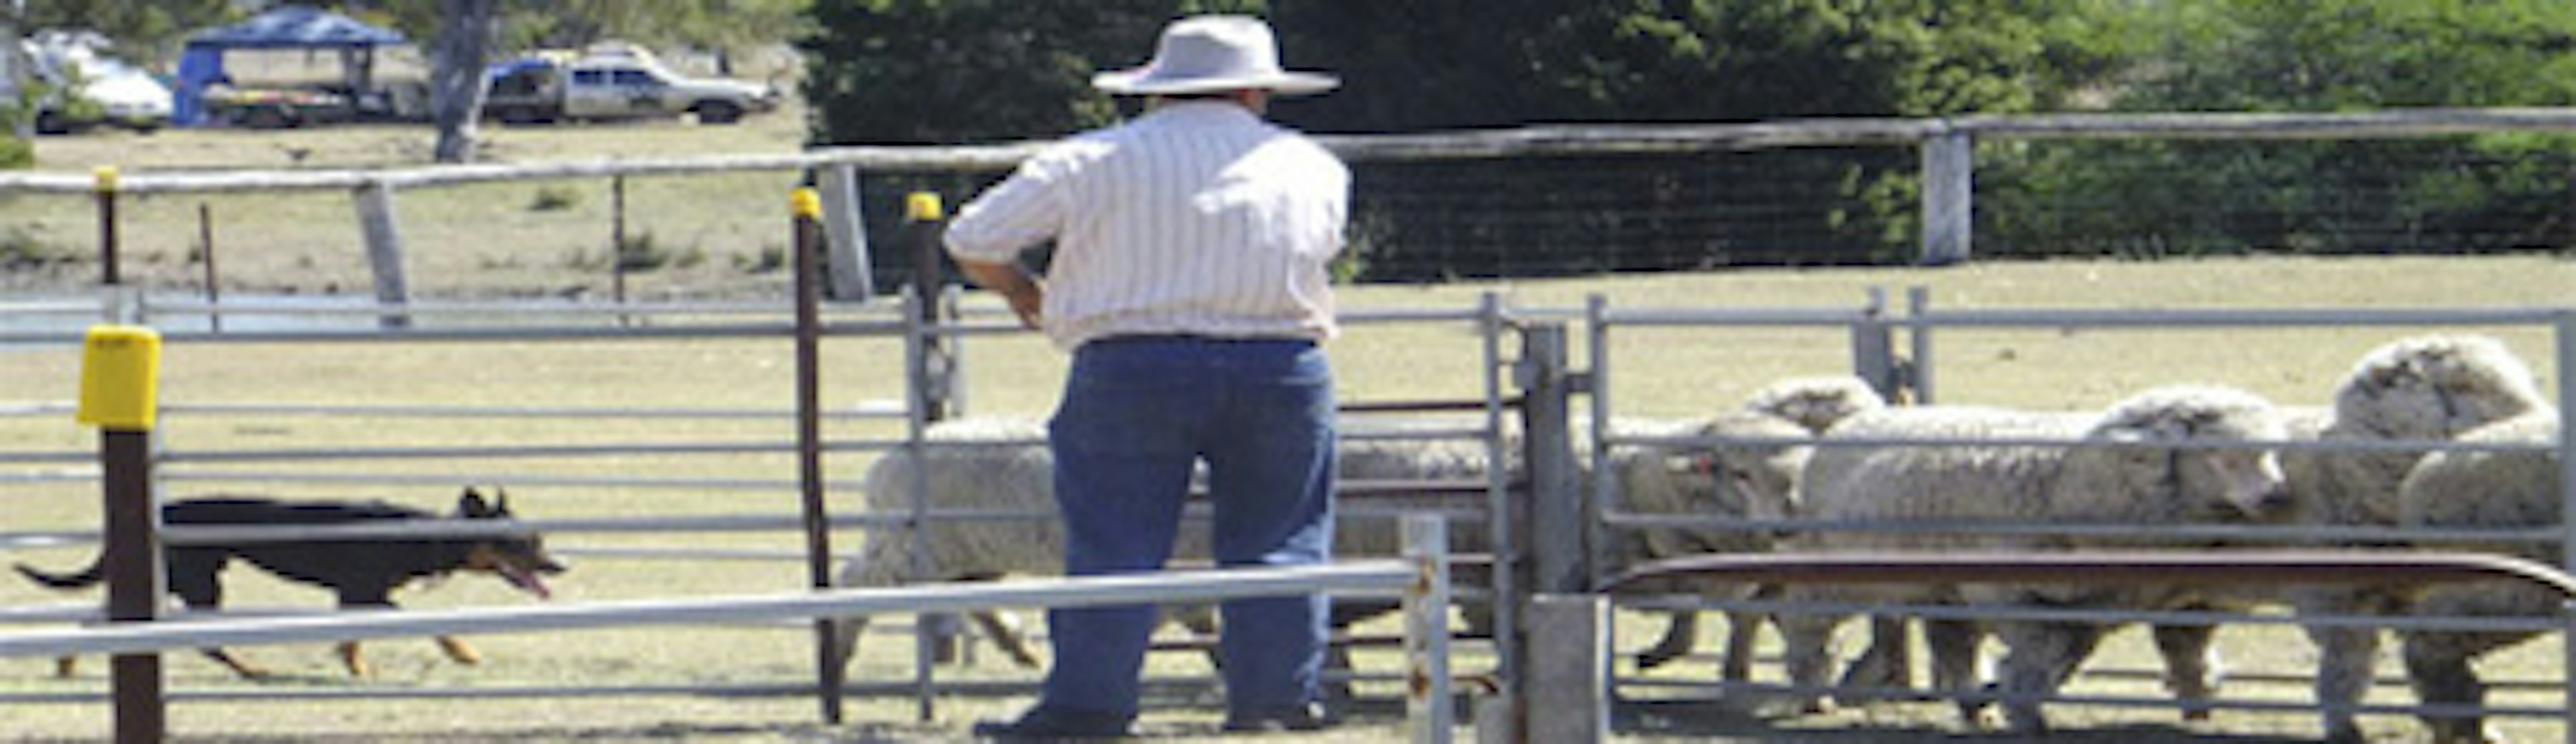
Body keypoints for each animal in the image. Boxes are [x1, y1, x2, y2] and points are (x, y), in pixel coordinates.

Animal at [17, 486, 564, 680]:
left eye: (538, 539)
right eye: (520, 544)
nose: (560, 567)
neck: (420, 534)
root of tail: (157, 512)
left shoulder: (356, 598)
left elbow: (351, 639)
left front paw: (355, 665)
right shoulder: (363, 594)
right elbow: (424, 624)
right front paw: (464, 652)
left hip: (176, 582)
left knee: (97, 616)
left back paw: (67, 662)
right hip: (198, 584)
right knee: (203, 639)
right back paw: (253, 668)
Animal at [1772, 386, 2298, 731]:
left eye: (2273, 452)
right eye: (2218, 455)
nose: (2277, 497)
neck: (2069, 481)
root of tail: (1854, 422)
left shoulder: (2100, 603)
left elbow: (2073, 656)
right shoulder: (2010, 592)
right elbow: (2038, 657)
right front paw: (2025, 712)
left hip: (1943, 585)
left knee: (1953, 642)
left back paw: (1974, 708)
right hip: (1839, 566)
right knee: (1805, 619)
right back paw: (1812, 691)